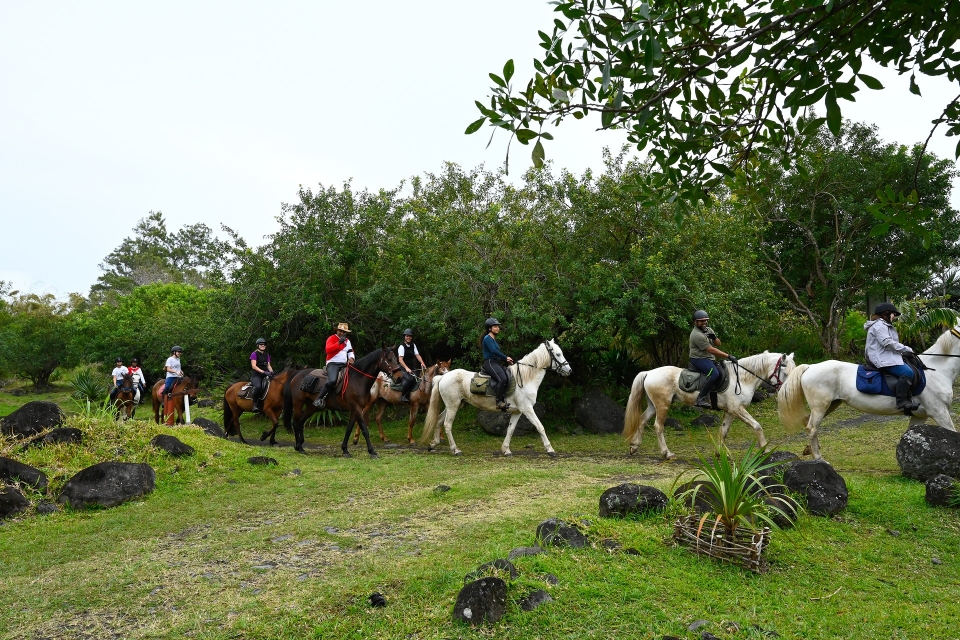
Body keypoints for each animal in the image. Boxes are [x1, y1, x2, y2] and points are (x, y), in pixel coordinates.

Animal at [420, 340, 572, 456]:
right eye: (558, 354)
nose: (569, 370)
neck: (525, 378)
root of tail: (443, 376)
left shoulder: (518, 411)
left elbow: (511, 430)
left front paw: (506, 450)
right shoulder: (527, 408)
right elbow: (540, 427)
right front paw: (550, 450)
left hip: (454, 405)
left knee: (439, 420)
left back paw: (433, 444)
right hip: (453, 406)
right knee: (447, 424)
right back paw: (455, 450)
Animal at [623, 351, 796, 460]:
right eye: (785, 373)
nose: (787, 392)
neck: (742, 377)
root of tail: (649, 372)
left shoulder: (730, 411)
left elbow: (723, 431)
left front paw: (720, 453)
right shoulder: (737, 409)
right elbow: (757, 426)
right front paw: (765, 450)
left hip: (653, 405)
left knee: (642, 420)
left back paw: (634, 446)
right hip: (662, 405)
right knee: (658, 426)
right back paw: (667, 453)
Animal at [778, 326, 960, 461]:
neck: (936, 369)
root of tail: (811, 367)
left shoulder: (920, 415)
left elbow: (910, 434)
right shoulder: (939, 412)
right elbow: (953, 434)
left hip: (831, 405)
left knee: (808, 423)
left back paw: (809, 450)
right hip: (820, 407)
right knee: (812, 428)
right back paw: (819, 458)